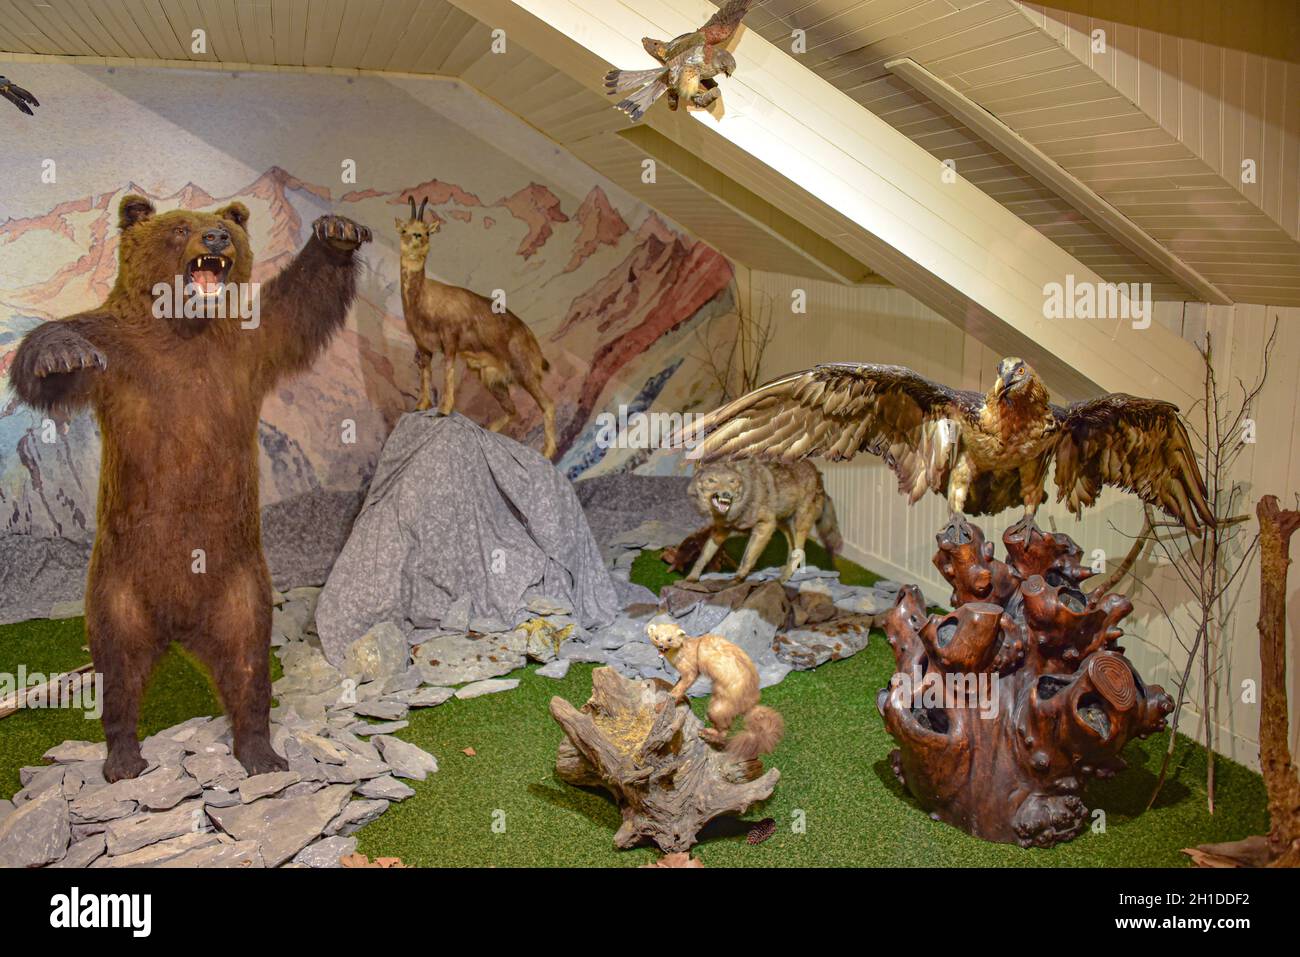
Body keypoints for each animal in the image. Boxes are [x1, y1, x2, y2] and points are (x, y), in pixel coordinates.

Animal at [11, 196, 371, 785]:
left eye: (225, 226)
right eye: (179, 227)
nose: (215, 238)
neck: (184, 328)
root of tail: (179, 627)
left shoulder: (247, 345)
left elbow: (299, 307)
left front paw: (337, 231)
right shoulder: (119, 354)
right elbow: (53, 361)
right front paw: (59, 352)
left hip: (241, 587)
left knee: (248, 665)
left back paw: (260, 752)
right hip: (118, 586)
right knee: (118, 670)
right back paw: (124, 757)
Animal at [395, 196, 559, 457]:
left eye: (427, 232)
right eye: (404, 229)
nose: (416, 238)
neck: (425, 299)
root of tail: (536, 349)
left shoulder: (450, 338)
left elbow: (448, 370)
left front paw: (443, 410)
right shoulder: (423, 345)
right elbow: (425, 374)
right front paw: (420, 406)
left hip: (524, 374)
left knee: (548, 404)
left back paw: (546, 453)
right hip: (493, 379)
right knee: (513, 409)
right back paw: (488, 429)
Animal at [647, 621, 780, 764]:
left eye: (670, 639)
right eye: (656, 637)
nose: (661, 645)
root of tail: (752, 702)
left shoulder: (690, 670)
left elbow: (679, 689)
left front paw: (661, 706)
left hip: (718, 707)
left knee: (724, 731)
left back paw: (706, 733)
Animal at [686, 457, 837, 582]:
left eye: (731, 481)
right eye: (711, 480)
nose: (726, 494)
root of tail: (818, 473)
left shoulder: (765, 525)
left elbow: (748, 557)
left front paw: (739, 577)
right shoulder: (721, 531)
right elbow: (703, 556)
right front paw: (691, 578)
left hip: (797, 524)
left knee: (799, 553)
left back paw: (783, 579)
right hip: (783, 524)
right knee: (792, 547)